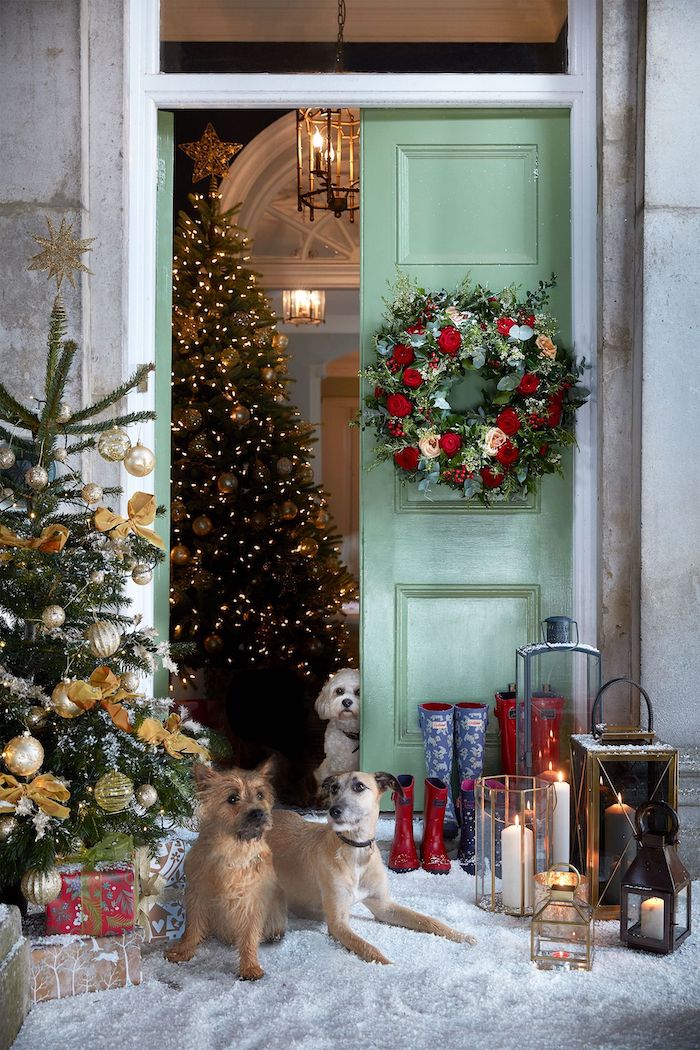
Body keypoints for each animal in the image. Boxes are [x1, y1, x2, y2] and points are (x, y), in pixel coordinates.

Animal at [165, 760, 285, 978]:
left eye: (260, 795)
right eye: (232, 798)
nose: (258, 813)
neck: (233, 852)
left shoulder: (252, 902)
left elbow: (249, 936)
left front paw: (249, 966)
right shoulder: (198, 895)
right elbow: (192, 927)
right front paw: (183, 951)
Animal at [268, 768, 476, 961]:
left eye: (359, 786)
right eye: (334, 788)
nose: (333, 811)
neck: (356, 851)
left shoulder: (384, 906)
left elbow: (428, 920)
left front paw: (462, 936)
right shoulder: (337, 923)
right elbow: (370, 949)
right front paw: (389, 966)